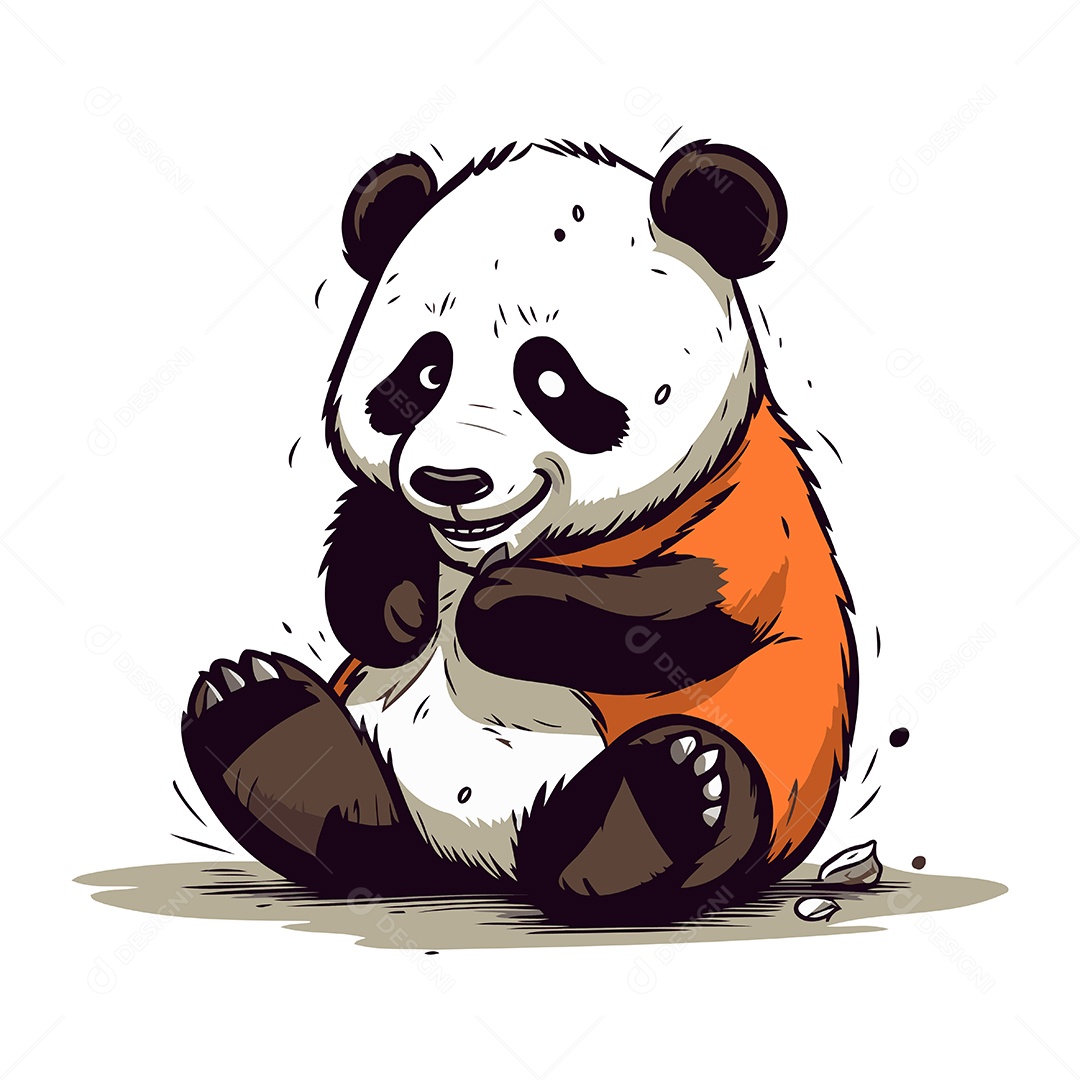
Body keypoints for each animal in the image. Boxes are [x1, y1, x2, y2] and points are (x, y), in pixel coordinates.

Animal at [181, 137, 857, 926]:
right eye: (426, 370)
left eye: (552, 380)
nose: (451, 483)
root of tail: (477, 860)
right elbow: (366, 555)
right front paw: (404, 607)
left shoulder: (746, 498)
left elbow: (685, 603)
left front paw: (494, 608)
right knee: (367, 835)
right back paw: (260, 721)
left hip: (769, 766)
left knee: (709, 800)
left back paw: (658, 806)